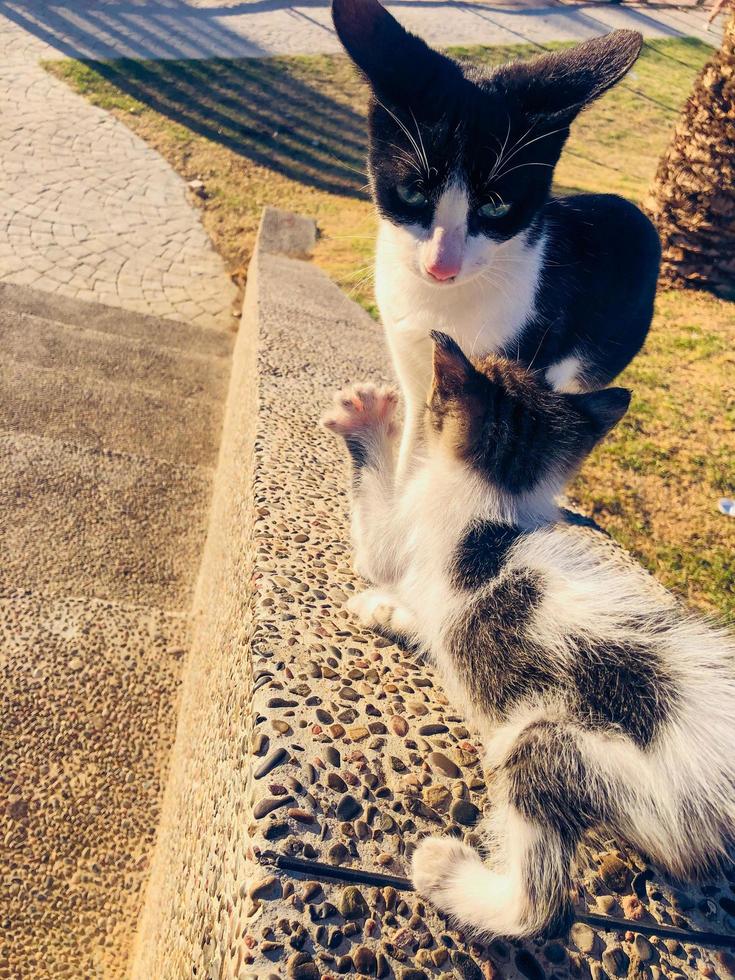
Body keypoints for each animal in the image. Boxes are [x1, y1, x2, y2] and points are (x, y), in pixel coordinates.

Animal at [320, 336, 735, 940]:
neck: (499, 493)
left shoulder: (399, 539)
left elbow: (374, 538)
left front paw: (367, 417)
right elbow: (421, 616)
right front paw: (389, 610)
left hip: (549, 746)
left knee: (544, 908)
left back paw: (446, 872)